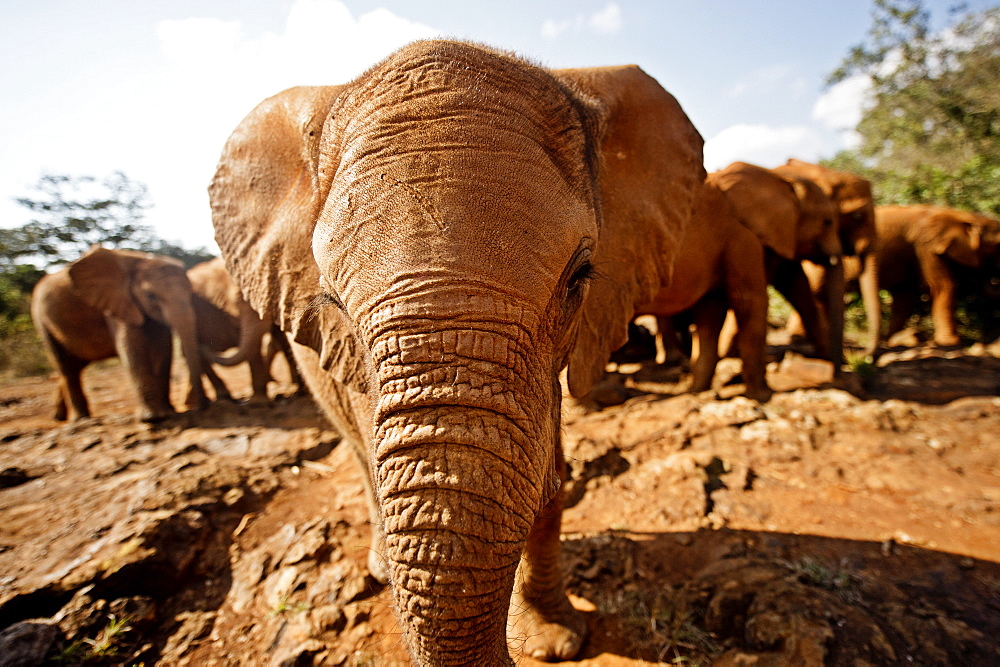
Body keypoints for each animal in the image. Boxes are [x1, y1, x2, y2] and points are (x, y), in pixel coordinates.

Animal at [30, 245, 207, 422]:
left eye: (191, 292)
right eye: (151, 295)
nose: (201, 407)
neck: (141, 261)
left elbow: (162, 348)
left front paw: (167, 413)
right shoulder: (117, 302)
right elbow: (132, 347)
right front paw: (153, 417)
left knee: (75, 366)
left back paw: (59, 416)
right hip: (41, 319)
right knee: (65, 365)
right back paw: (80, 419)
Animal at [636, 162, 840, 402]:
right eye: (827, 222)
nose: (835, 372)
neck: (776, 175)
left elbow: (711, 311)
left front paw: (698, 392)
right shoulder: (742, 237)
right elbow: (750, 301)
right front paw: (762, 396)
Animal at [868, 206, 1000, 348]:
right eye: (998, 246)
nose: (991, 277)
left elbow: (904, 298)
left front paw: (894, 340)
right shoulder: (926, 248)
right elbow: (944, 287)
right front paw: (951, 342)